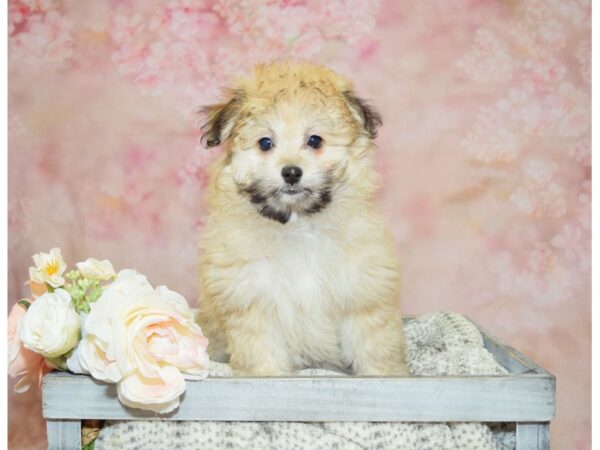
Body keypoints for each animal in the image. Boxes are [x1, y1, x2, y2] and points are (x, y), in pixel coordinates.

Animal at [197, 60, 408, 376]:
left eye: (315, 140)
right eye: (265, 142)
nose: (292, 172)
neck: (299, 223)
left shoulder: (361, 293)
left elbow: (374, 345)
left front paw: (384, 374)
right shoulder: (252, 299)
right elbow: (260, 349)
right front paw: (267, 374)